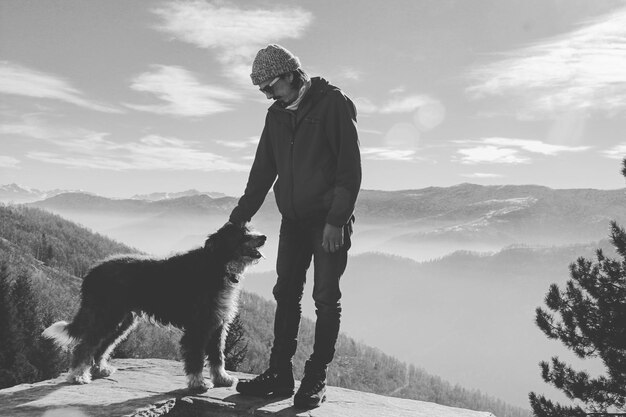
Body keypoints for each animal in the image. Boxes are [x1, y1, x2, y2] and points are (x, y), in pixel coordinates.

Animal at [40, 223, 266, 388]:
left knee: (102, 345)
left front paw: (222, 378)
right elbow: (196, 357)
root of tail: (92, 271)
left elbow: (218, 356)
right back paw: (78, 375)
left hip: (121, 320)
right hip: (106, 315)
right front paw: (198, 382)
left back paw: (100, 369)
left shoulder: (218, 323)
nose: (263, 237)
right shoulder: (199, 325)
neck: (218, 264)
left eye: (249, 228)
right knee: (85, 345)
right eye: (243, 233)